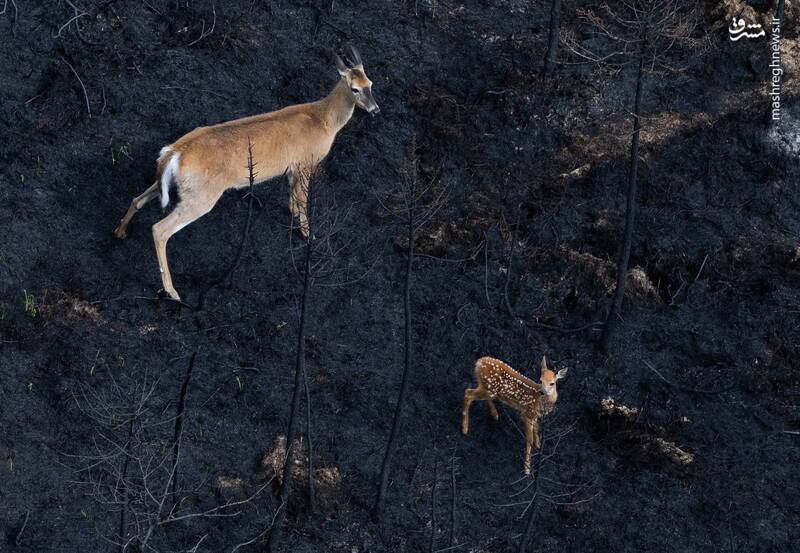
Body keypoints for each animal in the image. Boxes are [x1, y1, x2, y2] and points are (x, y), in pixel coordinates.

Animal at [111, 44, 382, 300]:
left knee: (138, 199)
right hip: (201, 196)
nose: (375, 109)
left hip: (171, 183)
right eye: (355, 89)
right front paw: (307, 233)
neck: (324, 120)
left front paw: (293, 214)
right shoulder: (307, 162)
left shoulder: (292, 167)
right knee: (160, 230)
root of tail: (174, 153)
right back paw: (172, 291)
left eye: (370, 83)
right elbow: (303, 199)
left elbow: (293, 196)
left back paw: (120, 232)